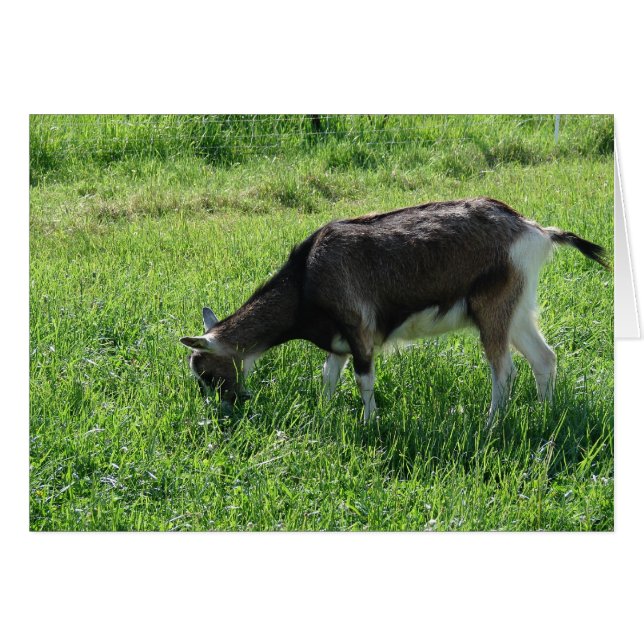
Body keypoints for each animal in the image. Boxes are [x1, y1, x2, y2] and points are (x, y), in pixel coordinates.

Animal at [180, 197, 608, 423]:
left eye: (208, 373)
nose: (225, 409)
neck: (305, 280)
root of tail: (536, 231)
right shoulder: (339, 341)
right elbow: (328, 377)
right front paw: (324, 412)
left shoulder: (359, 330)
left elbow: (363, 381)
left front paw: (369, 422)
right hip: (516, 308)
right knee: (544, 358)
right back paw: (545, 412)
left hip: (492, 310)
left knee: (505, 370)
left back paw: (490, 424)